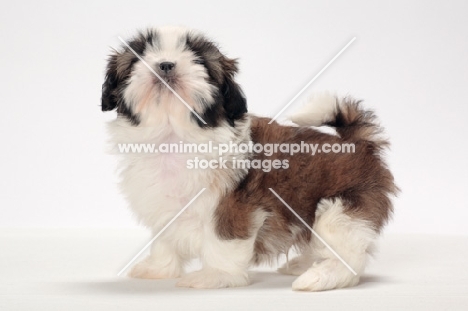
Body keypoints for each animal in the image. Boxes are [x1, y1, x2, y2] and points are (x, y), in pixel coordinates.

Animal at [100, 26, 396, 292]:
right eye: (138, 57)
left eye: (198, 59)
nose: (165, 65)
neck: (174, 136)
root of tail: (357, 144)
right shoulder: (162, 203)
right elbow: (163, 238)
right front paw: (159, 268)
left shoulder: (233, 206)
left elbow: (222, 240)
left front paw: (215, 275)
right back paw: (305, 263)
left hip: (344, 208)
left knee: (348, 255)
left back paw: (322, 276)